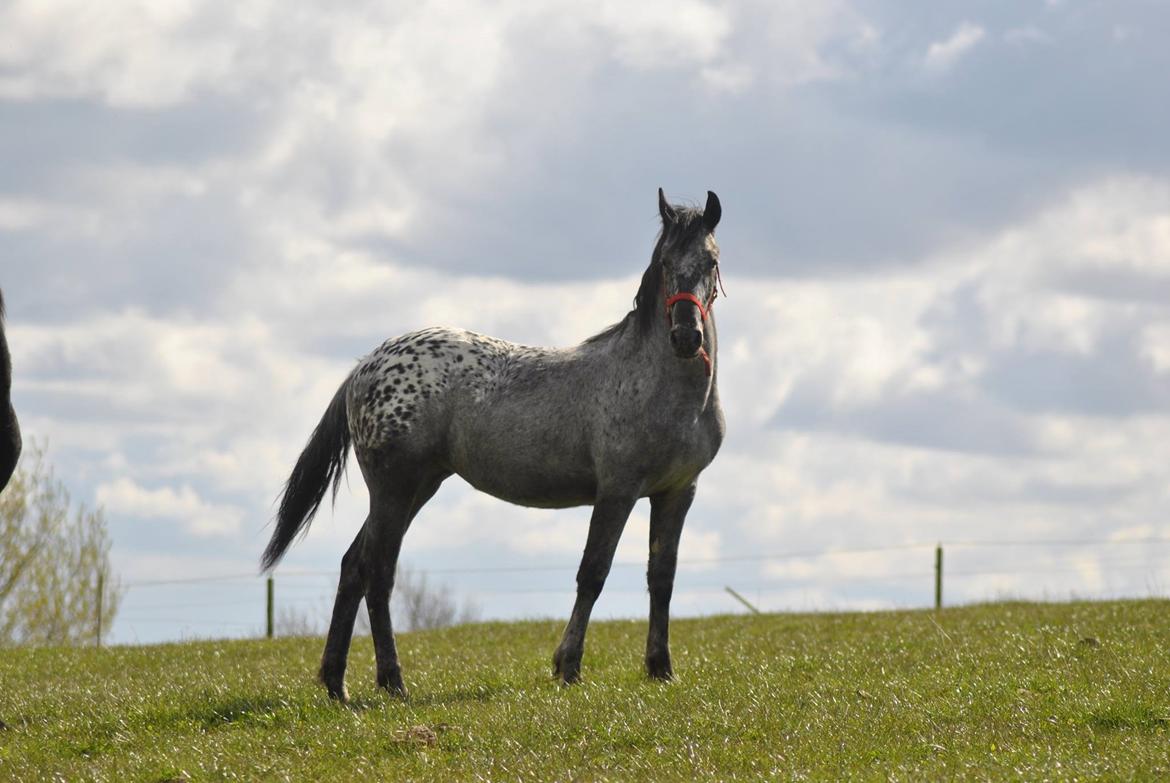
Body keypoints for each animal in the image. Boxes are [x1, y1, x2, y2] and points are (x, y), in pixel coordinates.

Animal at [260, 187, 725, 697]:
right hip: (394, 489)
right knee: (378, 571)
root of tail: (366, 365)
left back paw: (336, 684)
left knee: (353, 567)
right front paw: (568, 666)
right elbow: (593, 574)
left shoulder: (677, 492)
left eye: (711, 260)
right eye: (664, 261)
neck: (660, 389)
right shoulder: (617, 492)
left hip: (418, 487)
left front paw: (661, 668)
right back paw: (393, 681)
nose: (686, 336)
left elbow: (662, 577)